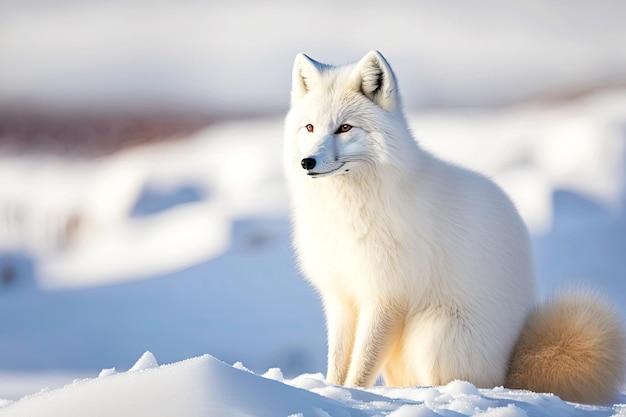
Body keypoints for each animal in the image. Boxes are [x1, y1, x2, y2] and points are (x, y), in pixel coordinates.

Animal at [284, 49, 624, 404]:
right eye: (310, 127)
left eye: (345, 127)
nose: (307, 162)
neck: (347, 212)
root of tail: (509, 372)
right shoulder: (341, 296)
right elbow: (339, 363)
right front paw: (331, 391)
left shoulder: (386, 297)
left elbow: (362, 366)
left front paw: (349, 398)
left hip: (433, 334)